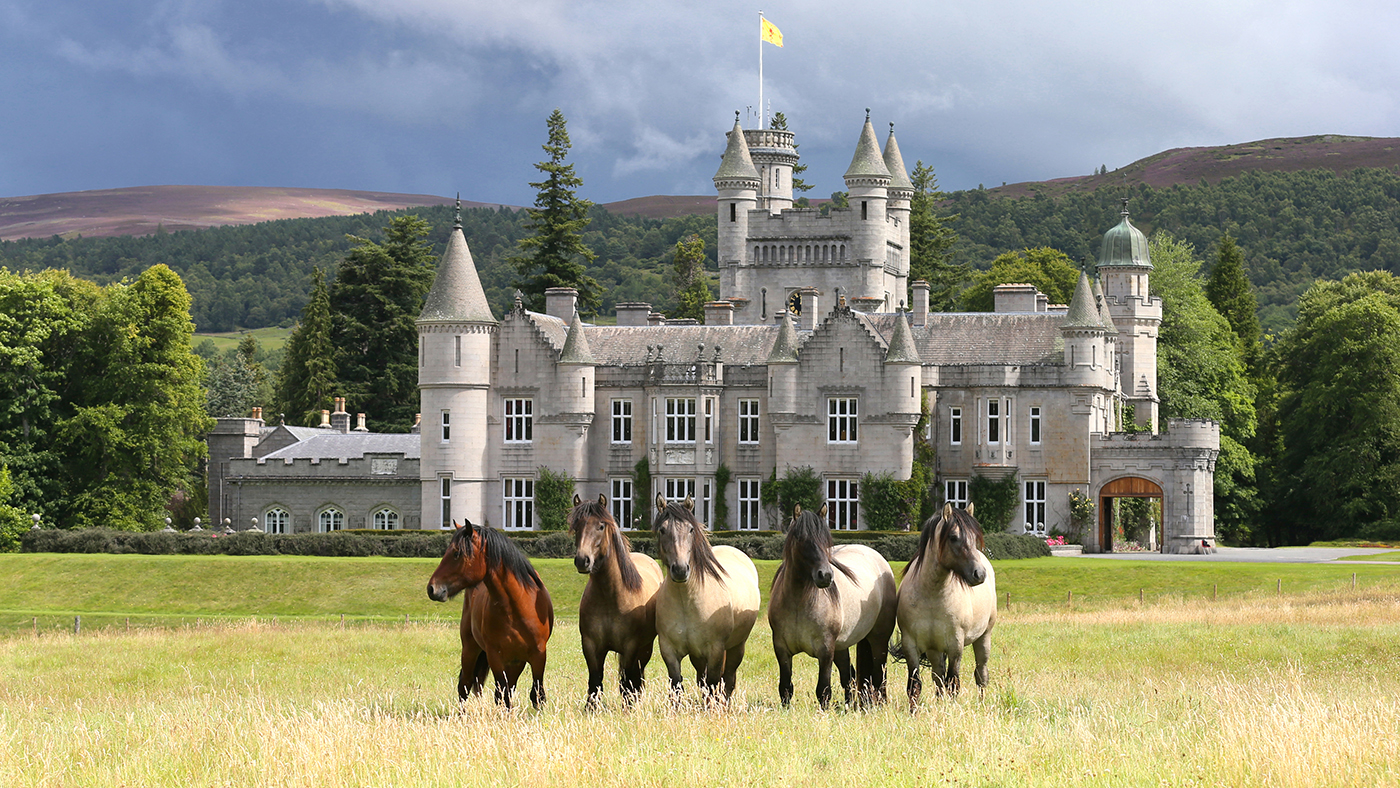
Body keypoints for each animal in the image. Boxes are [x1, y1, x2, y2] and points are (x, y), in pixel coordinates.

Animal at [427, 520, 555, 709]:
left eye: (456, 553)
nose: (432, 588)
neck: (517, 606)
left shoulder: (537, 655)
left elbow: (536, 695)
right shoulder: (495, 656)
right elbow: (501, 695)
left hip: (515, 662)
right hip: (470, 649)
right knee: (465, 685)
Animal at [569, 493, 664, 707]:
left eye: (601, 526)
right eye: (576, 526)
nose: (582, 560)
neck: (610, 598)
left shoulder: (630, 647)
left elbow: (628, 683)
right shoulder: (591, 646)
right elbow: (595, 682)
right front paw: (591, 708)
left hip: (645, 648)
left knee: (637, 677)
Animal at [652, 494, 761, 703]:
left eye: (691, 529)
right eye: (662, 530)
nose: (680, 570)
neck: (687, 601)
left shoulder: (716, 651)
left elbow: (713, 685)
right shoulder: (669, 651)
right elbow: (677, 686)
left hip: (736, 647)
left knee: (728, 681)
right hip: (698, 656)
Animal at [768, 503, 897, 709]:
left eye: (825, 540)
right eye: (801, 539)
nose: (826, 575)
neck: (798, 603)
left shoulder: (825, 651)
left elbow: (823, 690)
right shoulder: (782, 650)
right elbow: (786, 688)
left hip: (878, 639)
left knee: (879, 674)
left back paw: (879, 704)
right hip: (841, 647)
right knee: (849, 676)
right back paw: (849, 706)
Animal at [894, 502, 997, 709]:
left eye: (975, 537)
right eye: (953, 537)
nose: (979, 574)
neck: (932, 595)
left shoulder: (955, 645)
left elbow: (953, 683)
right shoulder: (911, 645)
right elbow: (915, 685)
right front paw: (914, 712)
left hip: (984, 638)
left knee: (981, 674)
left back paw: (981, 703)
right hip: (934, 650)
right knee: (938, 677)